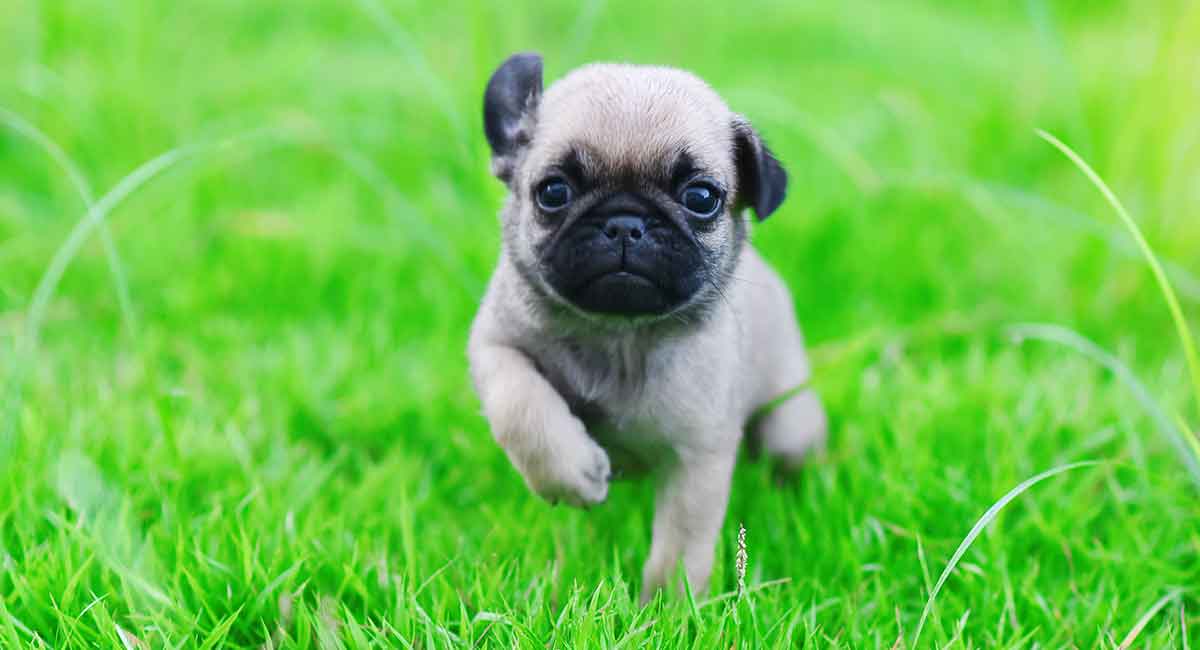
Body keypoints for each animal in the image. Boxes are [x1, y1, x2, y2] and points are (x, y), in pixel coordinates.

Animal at [468, 53, 825, 604]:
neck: (620, 335)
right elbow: (521, 407)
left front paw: (669, 610)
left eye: (701, 197)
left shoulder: (697, 460)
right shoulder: (495, 344)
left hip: (791, 419)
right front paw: (571, 474)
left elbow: (679, 551)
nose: (624, 223)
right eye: (554, 192)